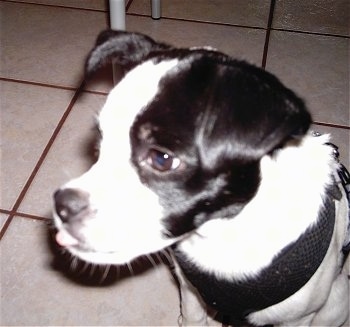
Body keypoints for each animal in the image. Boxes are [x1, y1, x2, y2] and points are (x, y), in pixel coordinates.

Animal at [52, 29, 350, 326]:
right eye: (99, 145)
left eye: (162, 159)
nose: (62, 206)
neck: (223, 237)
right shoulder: (190, 290)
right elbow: (193, 317)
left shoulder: (298, 317)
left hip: (336, 303)